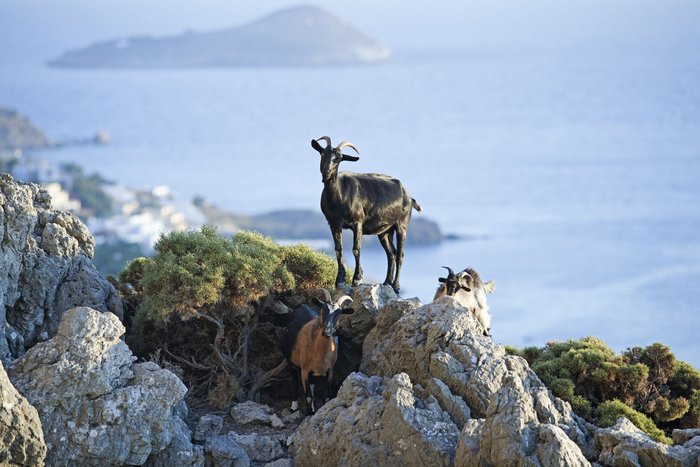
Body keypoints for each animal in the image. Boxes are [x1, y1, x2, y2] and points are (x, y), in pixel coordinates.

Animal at [312, 134, 422, 292]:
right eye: (322, 153)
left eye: (339, 158)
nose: (327, 173)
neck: (339, 195)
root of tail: (409, 197)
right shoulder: (333, 224)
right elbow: (338, 250)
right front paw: (339, 281)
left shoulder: (357, 222)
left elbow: (356, 249)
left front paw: (357, 279)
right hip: (385, 231)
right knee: (392, 254)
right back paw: (386, 282)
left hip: (401, 225)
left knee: (400, 254)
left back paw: (396, 286)